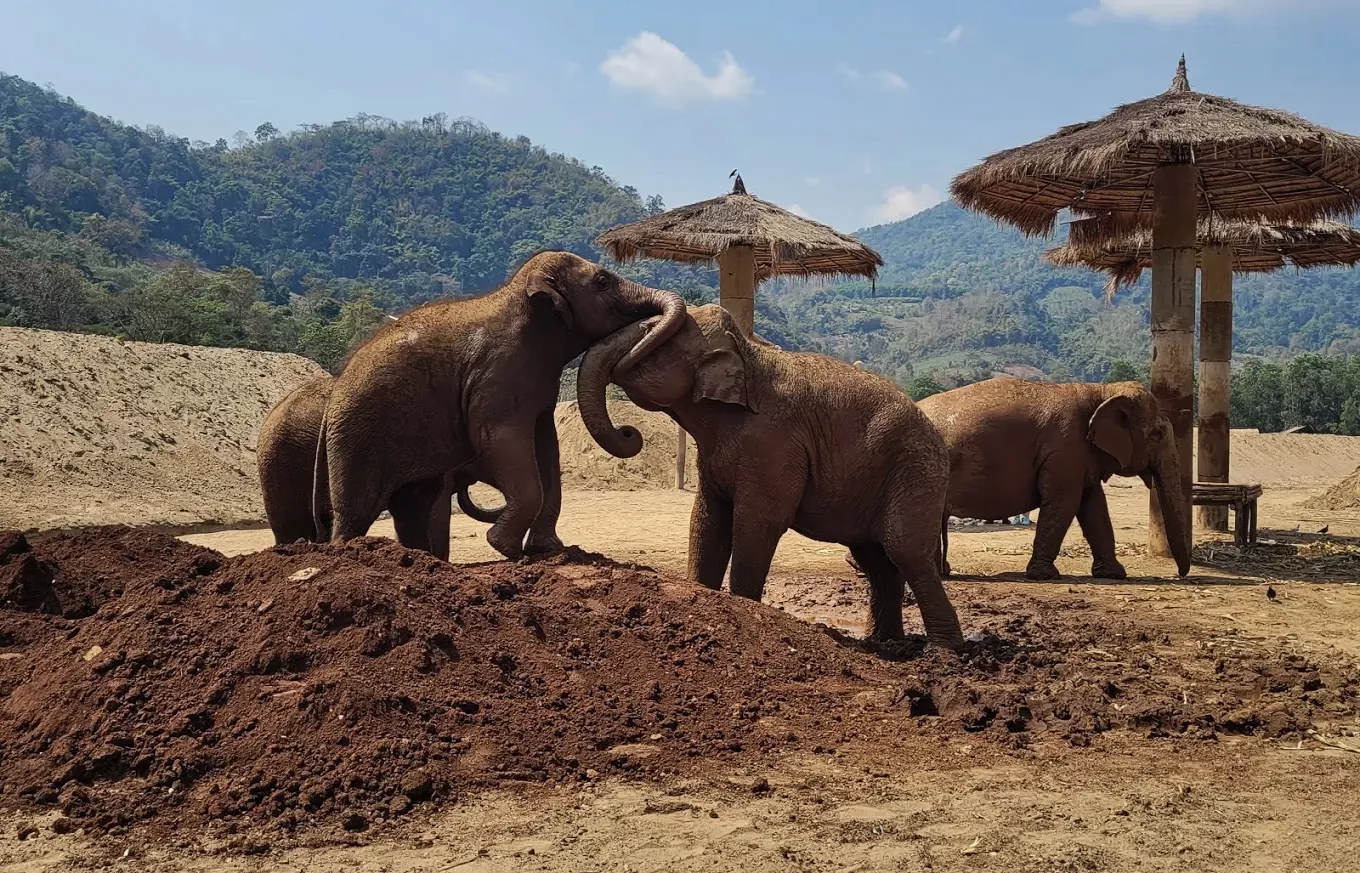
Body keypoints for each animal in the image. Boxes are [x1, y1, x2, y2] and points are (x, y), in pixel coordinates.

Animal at [317, 251, 686, 559]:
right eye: (603, 280)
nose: (629, 432)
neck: (516, 293)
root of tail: (334, 391)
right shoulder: (497, 374)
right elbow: (501, 440)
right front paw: (506, 548)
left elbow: (546, 446)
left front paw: (547, 551)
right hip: (357, 439)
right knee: (358, 510)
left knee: (413, 506)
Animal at [575, 304, 964, 650]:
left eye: (651, 334)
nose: (630, 432)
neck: (747, 352)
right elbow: (707, 520)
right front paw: (702, 597)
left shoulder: (774, 443)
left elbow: (757, 522)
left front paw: (746, 612)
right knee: (877, 560)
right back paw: (886, 643)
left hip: (916, 471)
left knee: (904, 550)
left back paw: (944, 650)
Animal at [914, 377, 1193, 581]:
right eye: (1156, 435)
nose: (1180, 575)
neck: (1101, 390)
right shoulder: (1065, 450)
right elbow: (1065, 502)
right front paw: (1044, 576)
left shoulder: (1080, 456)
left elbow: (1093, 505)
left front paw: (1114, 574)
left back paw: (942, 573)